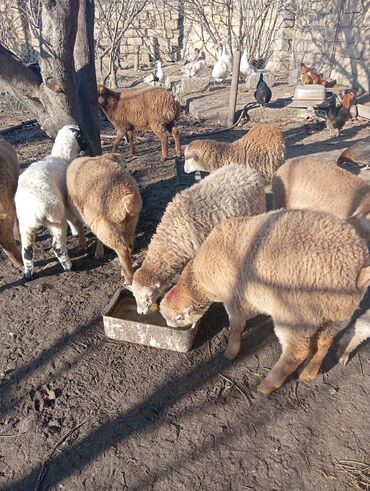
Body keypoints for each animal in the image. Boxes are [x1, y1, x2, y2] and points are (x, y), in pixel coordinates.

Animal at [15, 126, 86, 280]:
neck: (61, 157)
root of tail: (36, 210)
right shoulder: (66, 200)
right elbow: (70, 216)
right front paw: (76, 231)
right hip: (56, 220)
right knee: (57, 246)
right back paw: (70, 266)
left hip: (25, 224)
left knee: (27, 250)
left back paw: (28, 274)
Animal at [66, 154, 142, 284]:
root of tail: (124, 200)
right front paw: (98, 252)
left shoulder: (78, 211)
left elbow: (80, 225)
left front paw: (84, 245)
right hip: (130, 223)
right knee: (129, 245)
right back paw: (125, 270)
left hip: (107, 227)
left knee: (122, 249)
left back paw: (128, 278)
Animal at [160, 209, 370, 394]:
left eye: (177, 319)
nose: (171, 330)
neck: (199, 278)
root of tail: (357, 270)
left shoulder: (232, 296)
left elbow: (235, 324)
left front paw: (231, 351)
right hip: (326, 311)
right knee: (325, 341)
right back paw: (308, 374)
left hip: (295, 313)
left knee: (297, 352)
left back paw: (268, 385)